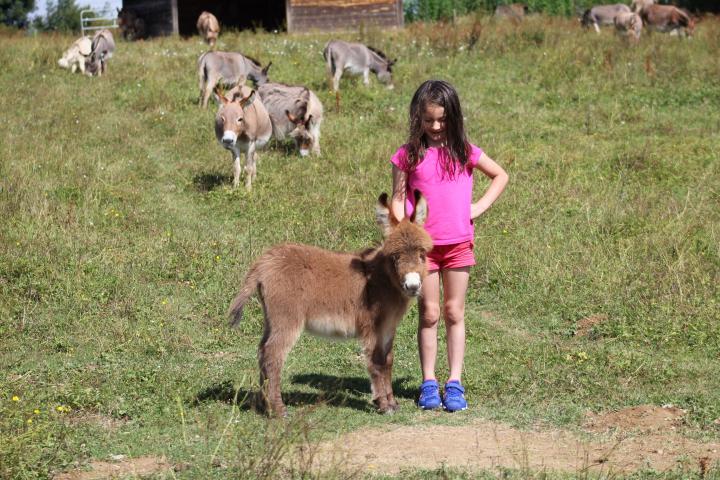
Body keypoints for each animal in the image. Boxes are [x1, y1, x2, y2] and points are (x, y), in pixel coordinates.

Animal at [229, 192, 434, 416]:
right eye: (395, 257)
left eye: (422, 254)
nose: (412, 286)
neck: (381, 278)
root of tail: (264, 262)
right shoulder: (372, 328)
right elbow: (376, 363)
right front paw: (384, 404)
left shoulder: (387, 328)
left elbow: (387, 361)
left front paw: (392, 403)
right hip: (287, 318)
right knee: (272, 355)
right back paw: (278, 410)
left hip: (271, 318)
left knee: (261, 350)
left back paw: (262, 405)